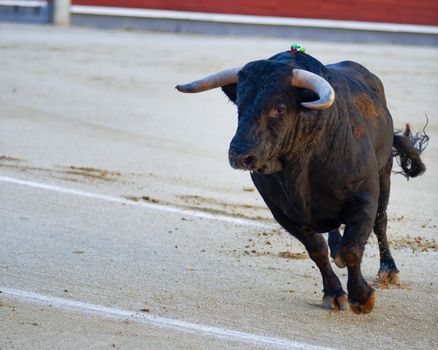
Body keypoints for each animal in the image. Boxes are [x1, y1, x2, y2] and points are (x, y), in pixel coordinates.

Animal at [176, 47, 426, 314]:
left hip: (384, 172)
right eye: (239, 105)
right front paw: (334, 293)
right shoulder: (282, 212)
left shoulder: (364, 196)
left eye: (279, 108)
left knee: (381, 221)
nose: (240, 155)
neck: (301, 163)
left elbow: (353, 248)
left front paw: (362, 297)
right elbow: (317, 249)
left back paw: (389, 270)